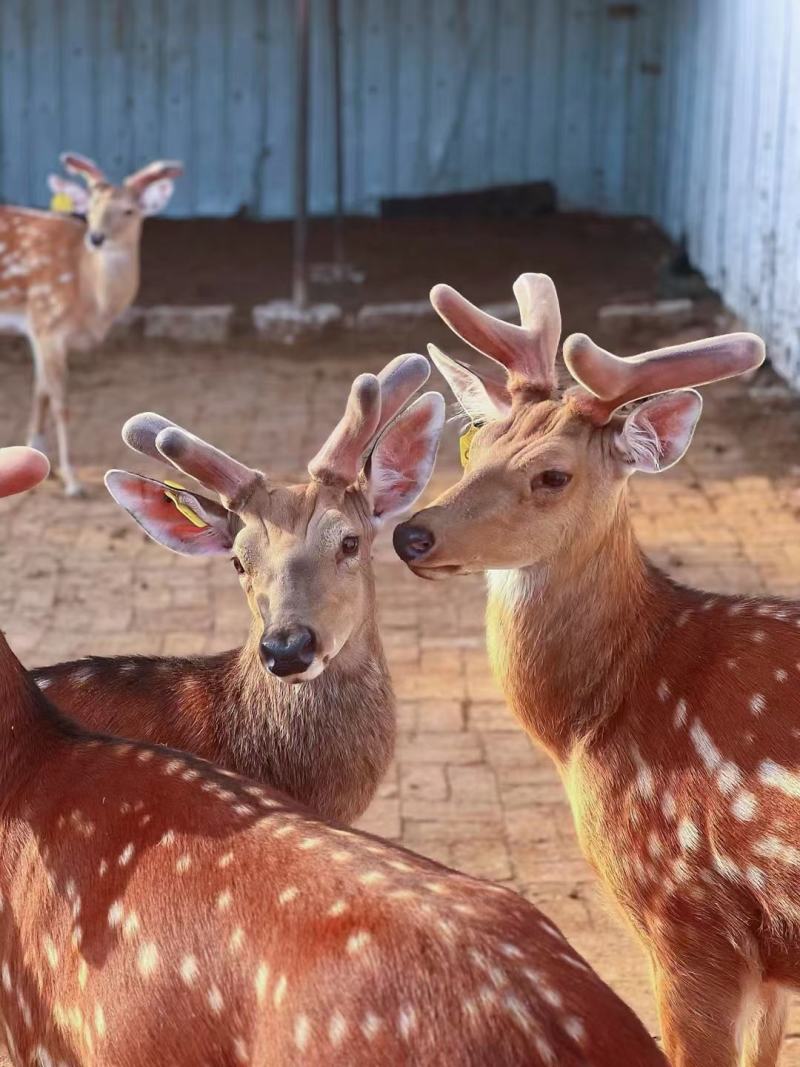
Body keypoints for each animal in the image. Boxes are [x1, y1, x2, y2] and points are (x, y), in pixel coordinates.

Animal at [0, 151, 182, 496]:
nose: (96, 238)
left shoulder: (37, 327)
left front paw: (40, 454)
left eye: (129, 210)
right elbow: (60, 401)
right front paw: (72, 481)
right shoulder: (48, 317)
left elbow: (41, 389)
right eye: (89, 210)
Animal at [392, 273, 798, 1067]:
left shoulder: (690, 912)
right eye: (471, 441)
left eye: (553, 474)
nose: (411, 534)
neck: (594, 722)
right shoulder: (769, 964)